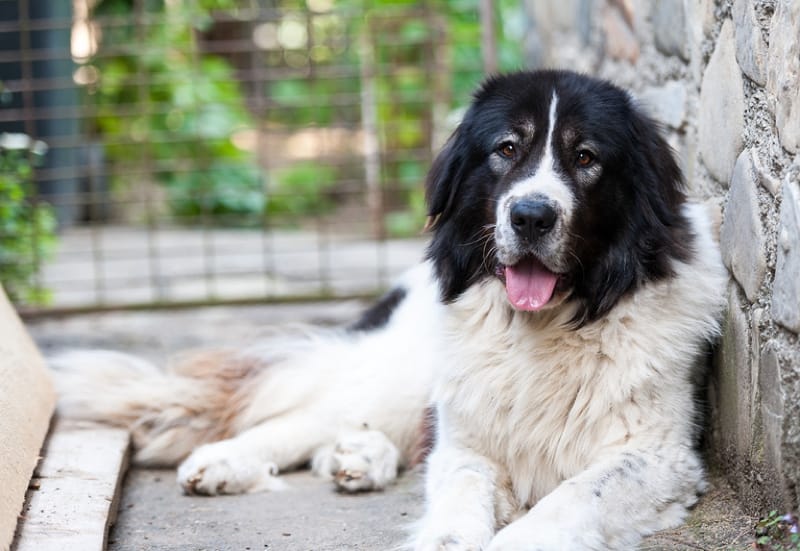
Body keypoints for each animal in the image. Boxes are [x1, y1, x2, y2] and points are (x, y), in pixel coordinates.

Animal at [48, 71, 724, 548]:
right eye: (507, 149)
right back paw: (228, 460)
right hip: (411, 364)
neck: (546, 328)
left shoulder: (655, 458)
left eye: (585, 158)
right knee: (315, 414)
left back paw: (357, 459)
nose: (531, 215)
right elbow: (458, 497)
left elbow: (572, 500)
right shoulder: (469, 444)